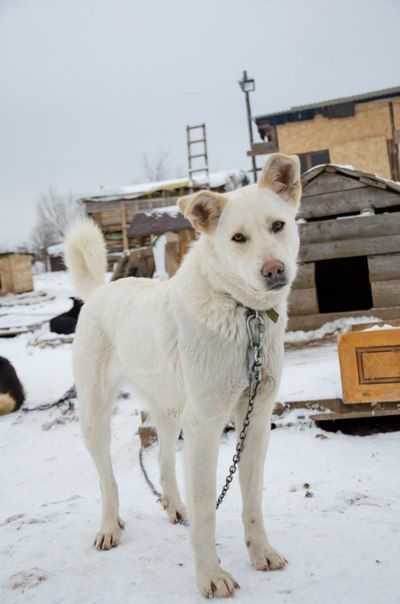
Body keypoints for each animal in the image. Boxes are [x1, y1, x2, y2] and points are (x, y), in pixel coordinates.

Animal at [64, 152, 300, 600]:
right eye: (238, 238)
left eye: (278, 226)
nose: (274, 270)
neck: (244, 316)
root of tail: (99, 290)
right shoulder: (206, 423)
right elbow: (208, 507)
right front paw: (211, 575)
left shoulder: (256, 419)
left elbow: (252, 499)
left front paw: (261, 553)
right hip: (95, 416)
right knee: (107, 479)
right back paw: (109, 527)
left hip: (171, 413)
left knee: (161, 462)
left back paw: (175, 506)